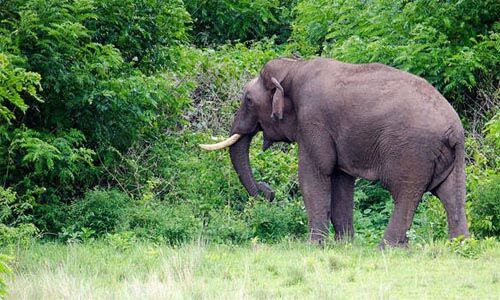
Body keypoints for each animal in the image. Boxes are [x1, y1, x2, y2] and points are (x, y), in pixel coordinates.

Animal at [199, 57, 468, 247]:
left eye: (248, 100)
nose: (269, 192)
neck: (294, 68)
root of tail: (454, 128)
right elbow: (340, 179)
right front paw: (345, 245)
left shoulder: (313, 120)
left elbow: (313, 174)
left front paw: (313, 246)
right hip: (449, 155)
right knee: (451, 195)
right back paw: (458, 246)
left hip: (412, 151)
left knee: (406, 194)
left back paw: (387, 248)